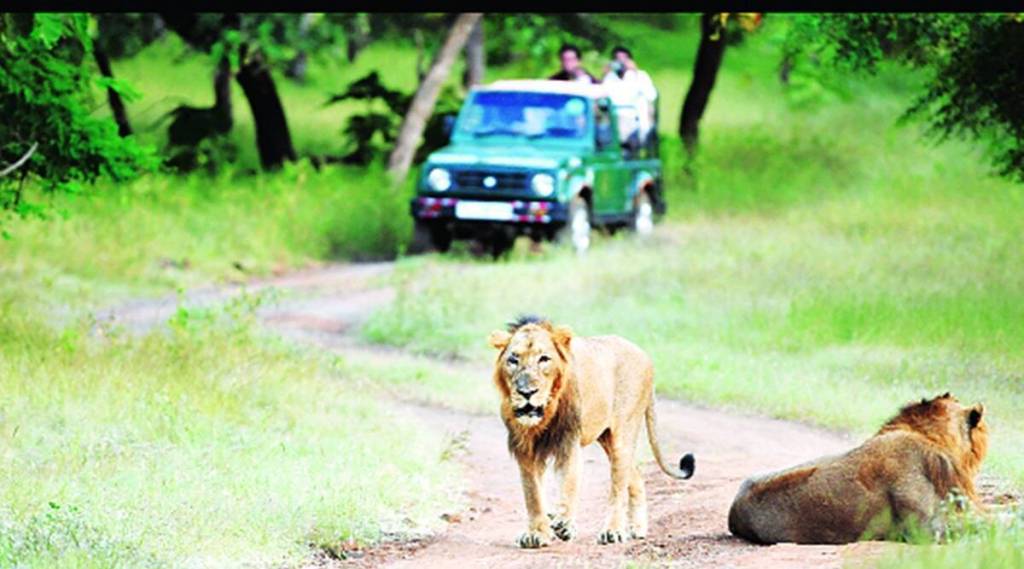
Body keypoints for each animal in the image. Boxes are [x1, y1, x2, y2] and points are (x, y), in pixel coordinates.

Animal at [487, 315, 696, 548]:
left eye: (544, 359)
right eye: (513, 360)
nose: (526, 392)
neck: (545, 413)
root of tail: (645, 356)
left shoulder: (568, 441)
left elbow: (569, 483)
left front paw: (564, 524)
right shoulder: (525, 449)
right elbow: (532, 494)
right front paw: (537, 534)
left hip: (622, 436)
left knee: (618, 488)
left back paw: (613, 531)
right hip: (606, 438)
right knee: (636, 477)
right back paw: (638, 528)